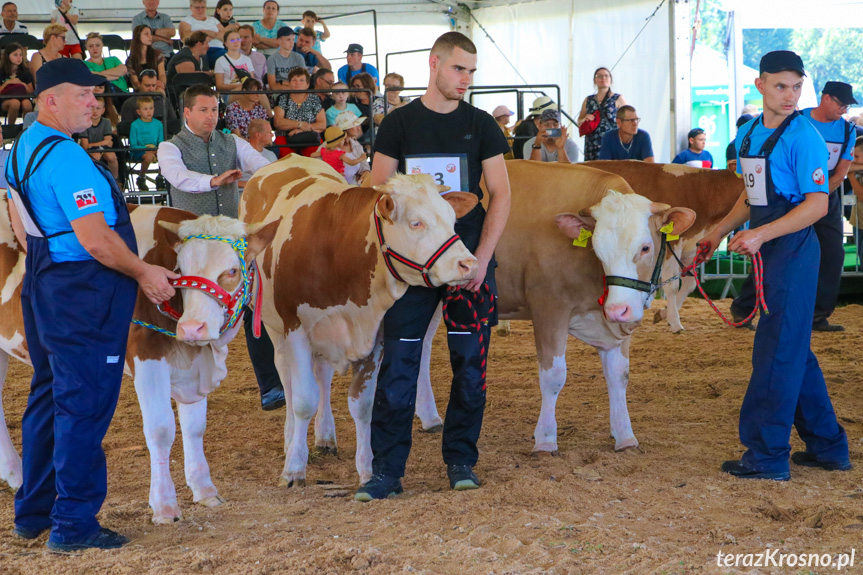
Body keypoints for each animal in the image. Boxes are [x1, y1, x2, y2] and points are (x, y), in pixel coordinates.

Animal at [0, 201, 276, 528]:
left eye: (232, 271)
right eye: (180, 271)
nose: (191, 328)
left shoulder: (193, 367)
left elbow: (195, 427)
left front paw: (205, 489)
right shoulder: (147, 357)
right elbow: (160, 429)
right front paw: (165, 505)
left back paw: (15, 476)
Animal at [238, 154, 480, 486]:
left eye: (452, 219)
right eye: (416, 222)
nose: (468, 264)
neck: (337, 250)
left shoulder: (375, 333)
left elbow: (363, 404)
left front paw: (368, 470)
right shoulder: (295, 328)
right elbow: (302, 400)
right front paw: (294, 468)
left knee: (323, 375)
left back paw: (325, 436)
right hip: (275, 327)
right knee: (287, 378)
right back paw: (290, 441)